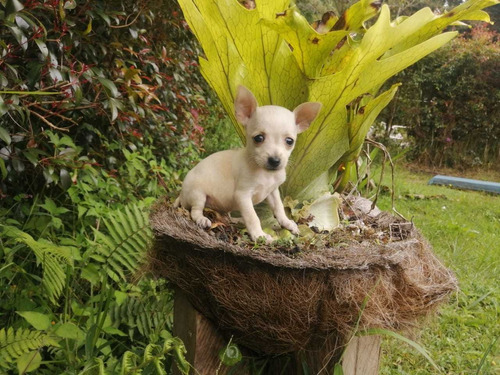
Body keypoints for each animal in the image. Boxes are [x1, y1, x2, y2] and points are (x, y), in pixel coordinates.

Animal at [175, 85, 320, 242]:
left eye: (289, 141)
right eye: (258, 138)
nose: (275, 160)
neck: (265, 173)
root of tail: (181, 195)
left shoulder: (273, 192)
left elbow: (279, 208)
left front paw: (287, 223)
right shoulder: (243, 196)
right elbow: (252, 217)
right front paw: (259, 235)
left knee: (226, 216)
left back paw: (235, 220)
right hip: (198, 195)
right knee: (194, 211)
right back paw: (202, 219)